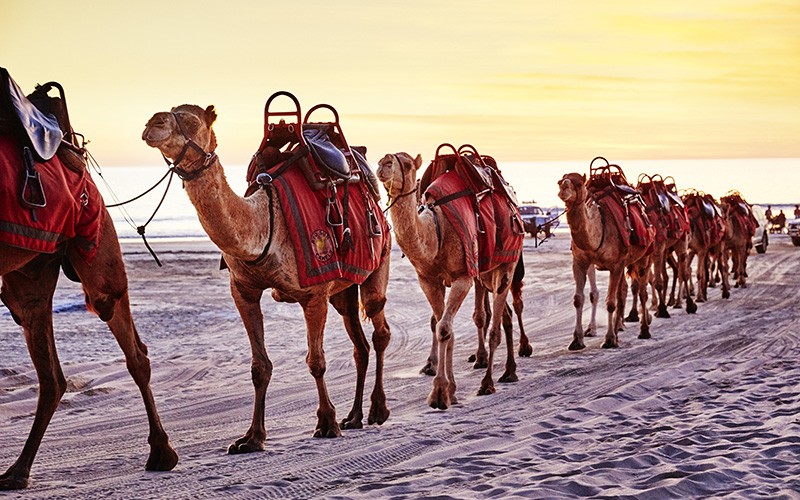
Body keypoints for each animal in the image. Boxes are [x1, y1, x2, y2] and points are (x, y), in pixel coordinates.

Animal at [1, 80, 177, 490]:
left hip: (95, 242)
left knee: (130, 345)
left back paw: (161, 452)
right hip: (29, 274)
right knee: (51, 375)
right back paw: (18, 470)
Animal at [142, 104, 392, 452]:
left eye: (192, 120)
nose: (153, 123)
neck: (265, 222)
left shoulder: (315, 294)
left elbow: (316, 361)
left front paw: (326, 422)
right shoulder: (243, 290)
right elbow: (260, 367)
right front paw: (251, 438)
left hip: (379, 260)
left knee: (380, 330)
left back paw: (377, 410)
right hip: (343, 291)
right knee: (360, 345)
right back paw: (353, 417)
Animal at [376, 152, 520, 410]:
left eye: (407, 163)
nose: (384, 162)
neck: (436, 230)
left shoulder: (463, 278)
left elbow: (444, 327)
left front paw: (440, 392)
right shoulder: (429, 280)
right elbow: (441, 325)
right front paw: (450, 389)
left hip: (507, 265)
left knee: (495, 326)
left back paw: (490, 382)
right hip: (486, 273)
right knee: (502, 315)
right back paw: (506, 371)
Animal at [557, 172, 652, 350]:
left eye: (579, 184)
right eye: (560, 182)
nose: (563, 189)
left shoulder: (616, 265)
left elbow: (610, 302)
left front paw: (609, 340)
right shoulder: (580, 262)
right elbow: (578, 299)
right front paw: (577, 340)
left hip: (645, 256)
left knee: (642, 293)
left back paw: (644, 331)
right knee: (622, 293)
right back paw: (617, 329)